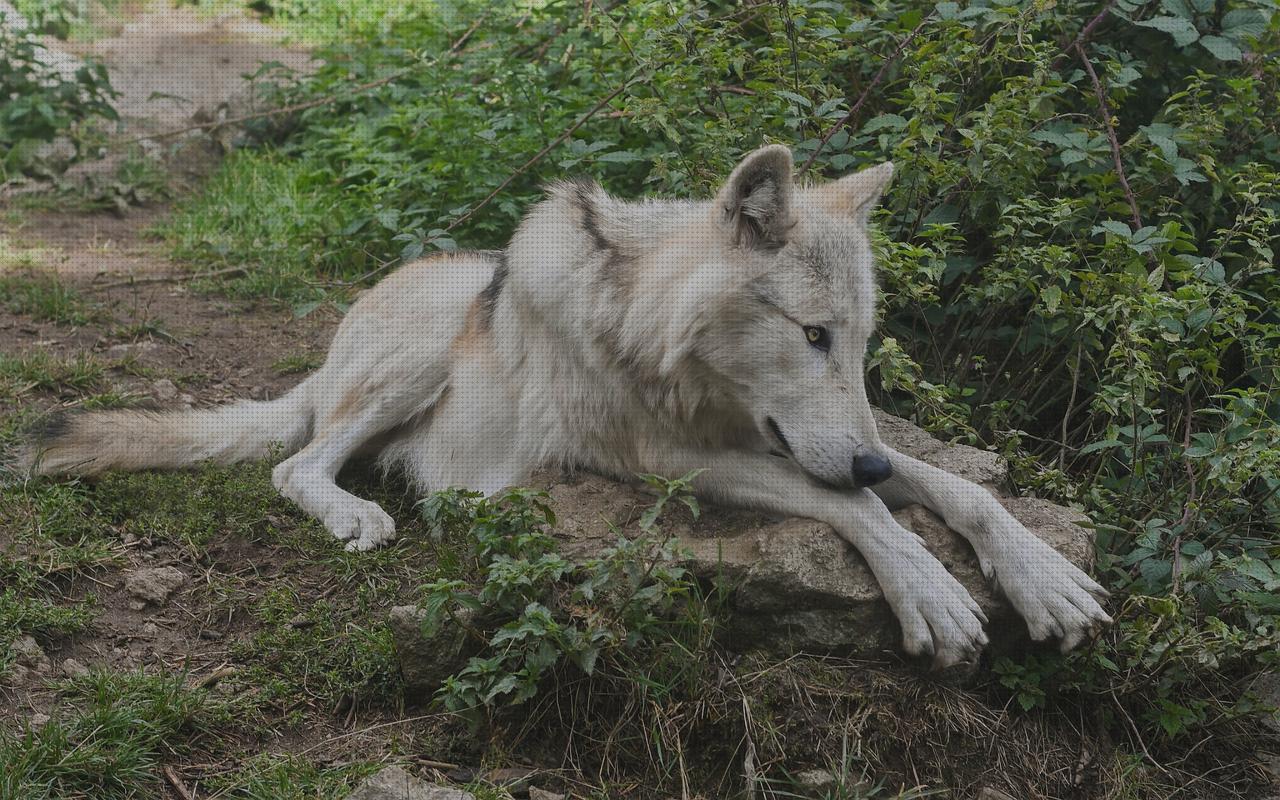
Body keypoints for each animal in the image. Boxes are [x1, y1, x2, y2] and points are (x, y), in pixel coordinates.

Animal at [17, 145, 1111, 665]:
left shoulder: (804, 442)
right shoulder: (659, 459)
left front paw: (1043, 577)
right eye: (811, 335)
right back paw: (358, 512)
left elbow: (950, 489)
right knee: (298, 462)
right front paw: (931, 593)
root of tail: (326, 352)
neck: (646, 330)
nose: (872, 455)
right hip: (425, 348)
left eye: (859, 342)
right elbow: (863, 506)